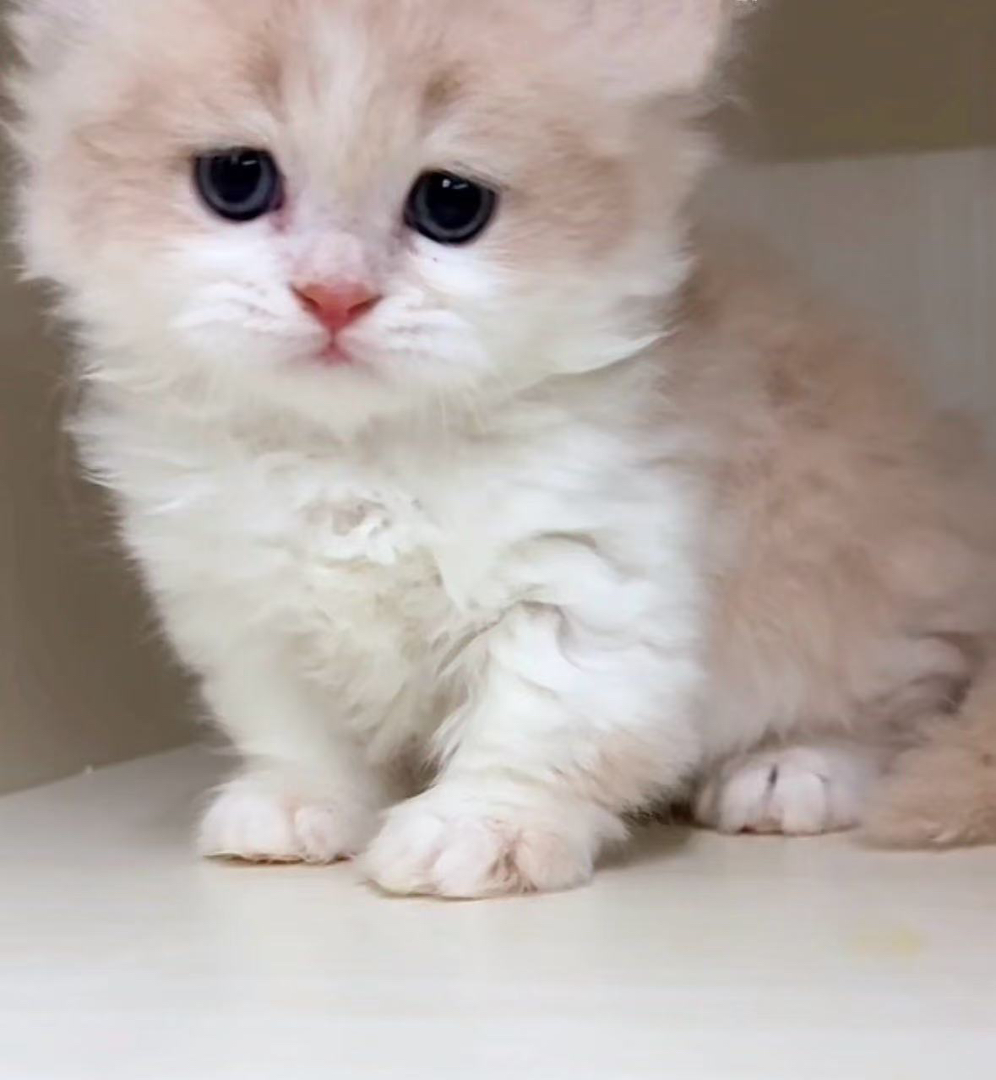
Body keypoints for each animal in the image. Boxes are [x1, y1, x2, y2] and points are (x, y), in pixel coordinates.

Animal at [7, 0, 996, 898]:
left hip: (864, 602)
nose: (334, 296)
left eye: (452, 205)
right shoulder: (244, 608)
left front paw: (476, 832)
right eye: (237, 180)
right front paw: (297, 807)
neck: (357, 458)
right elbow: (300, 730)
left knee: (898, 710)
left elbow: (535, 727)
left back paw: (789, 771)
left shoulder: (591, 581)